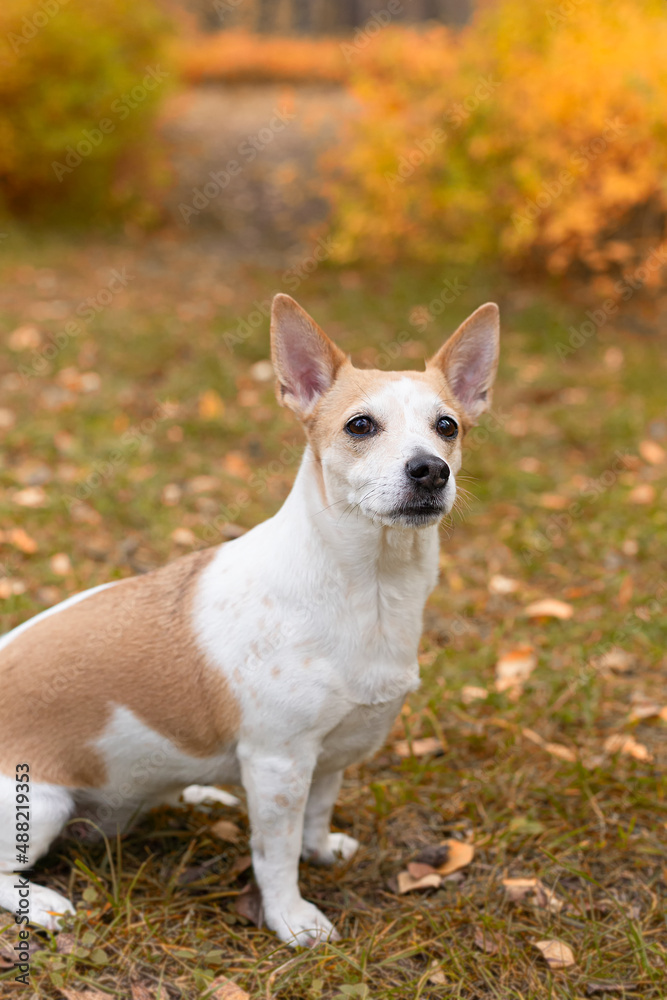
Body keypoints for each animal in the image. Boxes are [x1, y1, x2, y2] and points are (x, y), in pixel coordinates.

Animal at [0, 294, 500, 944]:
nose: (431, 470)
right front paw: (292, 920)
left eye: (448, 426)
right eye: (360, 426)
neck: (372, 588)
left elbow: (314, 819)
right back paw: (44, 902)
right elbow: (276, 854)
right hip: (40, 806)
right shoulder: (278, 763)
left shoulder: (327, 757)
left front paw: (322, 853)